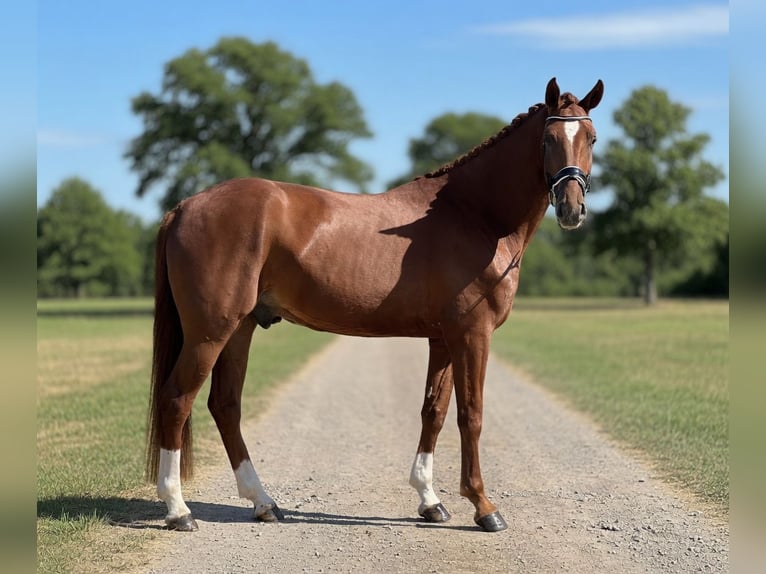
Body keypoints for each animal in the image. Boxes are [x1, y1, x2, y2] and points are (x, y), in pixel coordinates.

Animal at [145, 77, 604, 532]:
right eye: (547, 139)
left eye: (592, 138)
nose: (572, 209)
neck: (474, 215)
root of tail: (184, 207)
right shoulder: (472, 334)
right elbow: (471, 414)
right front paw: (483, 506)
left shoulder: (443, 339)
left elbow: (434, 411)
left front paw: (430, 501)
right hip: (210, 332)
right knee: (176, 400)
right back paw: (179, 510)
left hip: (239, 329)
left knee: (225, 405)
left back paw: (263, 502)